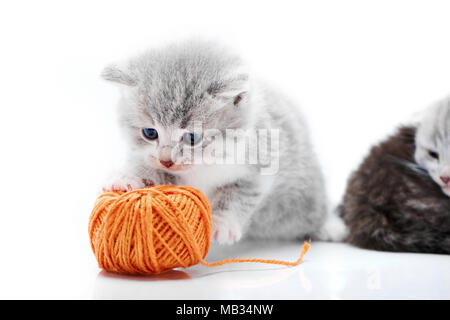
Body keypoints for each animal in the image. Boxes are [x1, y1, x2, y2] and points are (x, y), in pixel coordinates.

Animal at [100, 40, 344, 245]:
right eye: (150, 133)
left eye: (192, 138)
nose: (167, 160)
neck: (205, 163)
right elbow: (147, 166)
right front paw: (127, 178)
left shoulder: (261, 166)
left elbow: (238, 197)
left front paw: (222, 224)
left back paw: (329, 226)